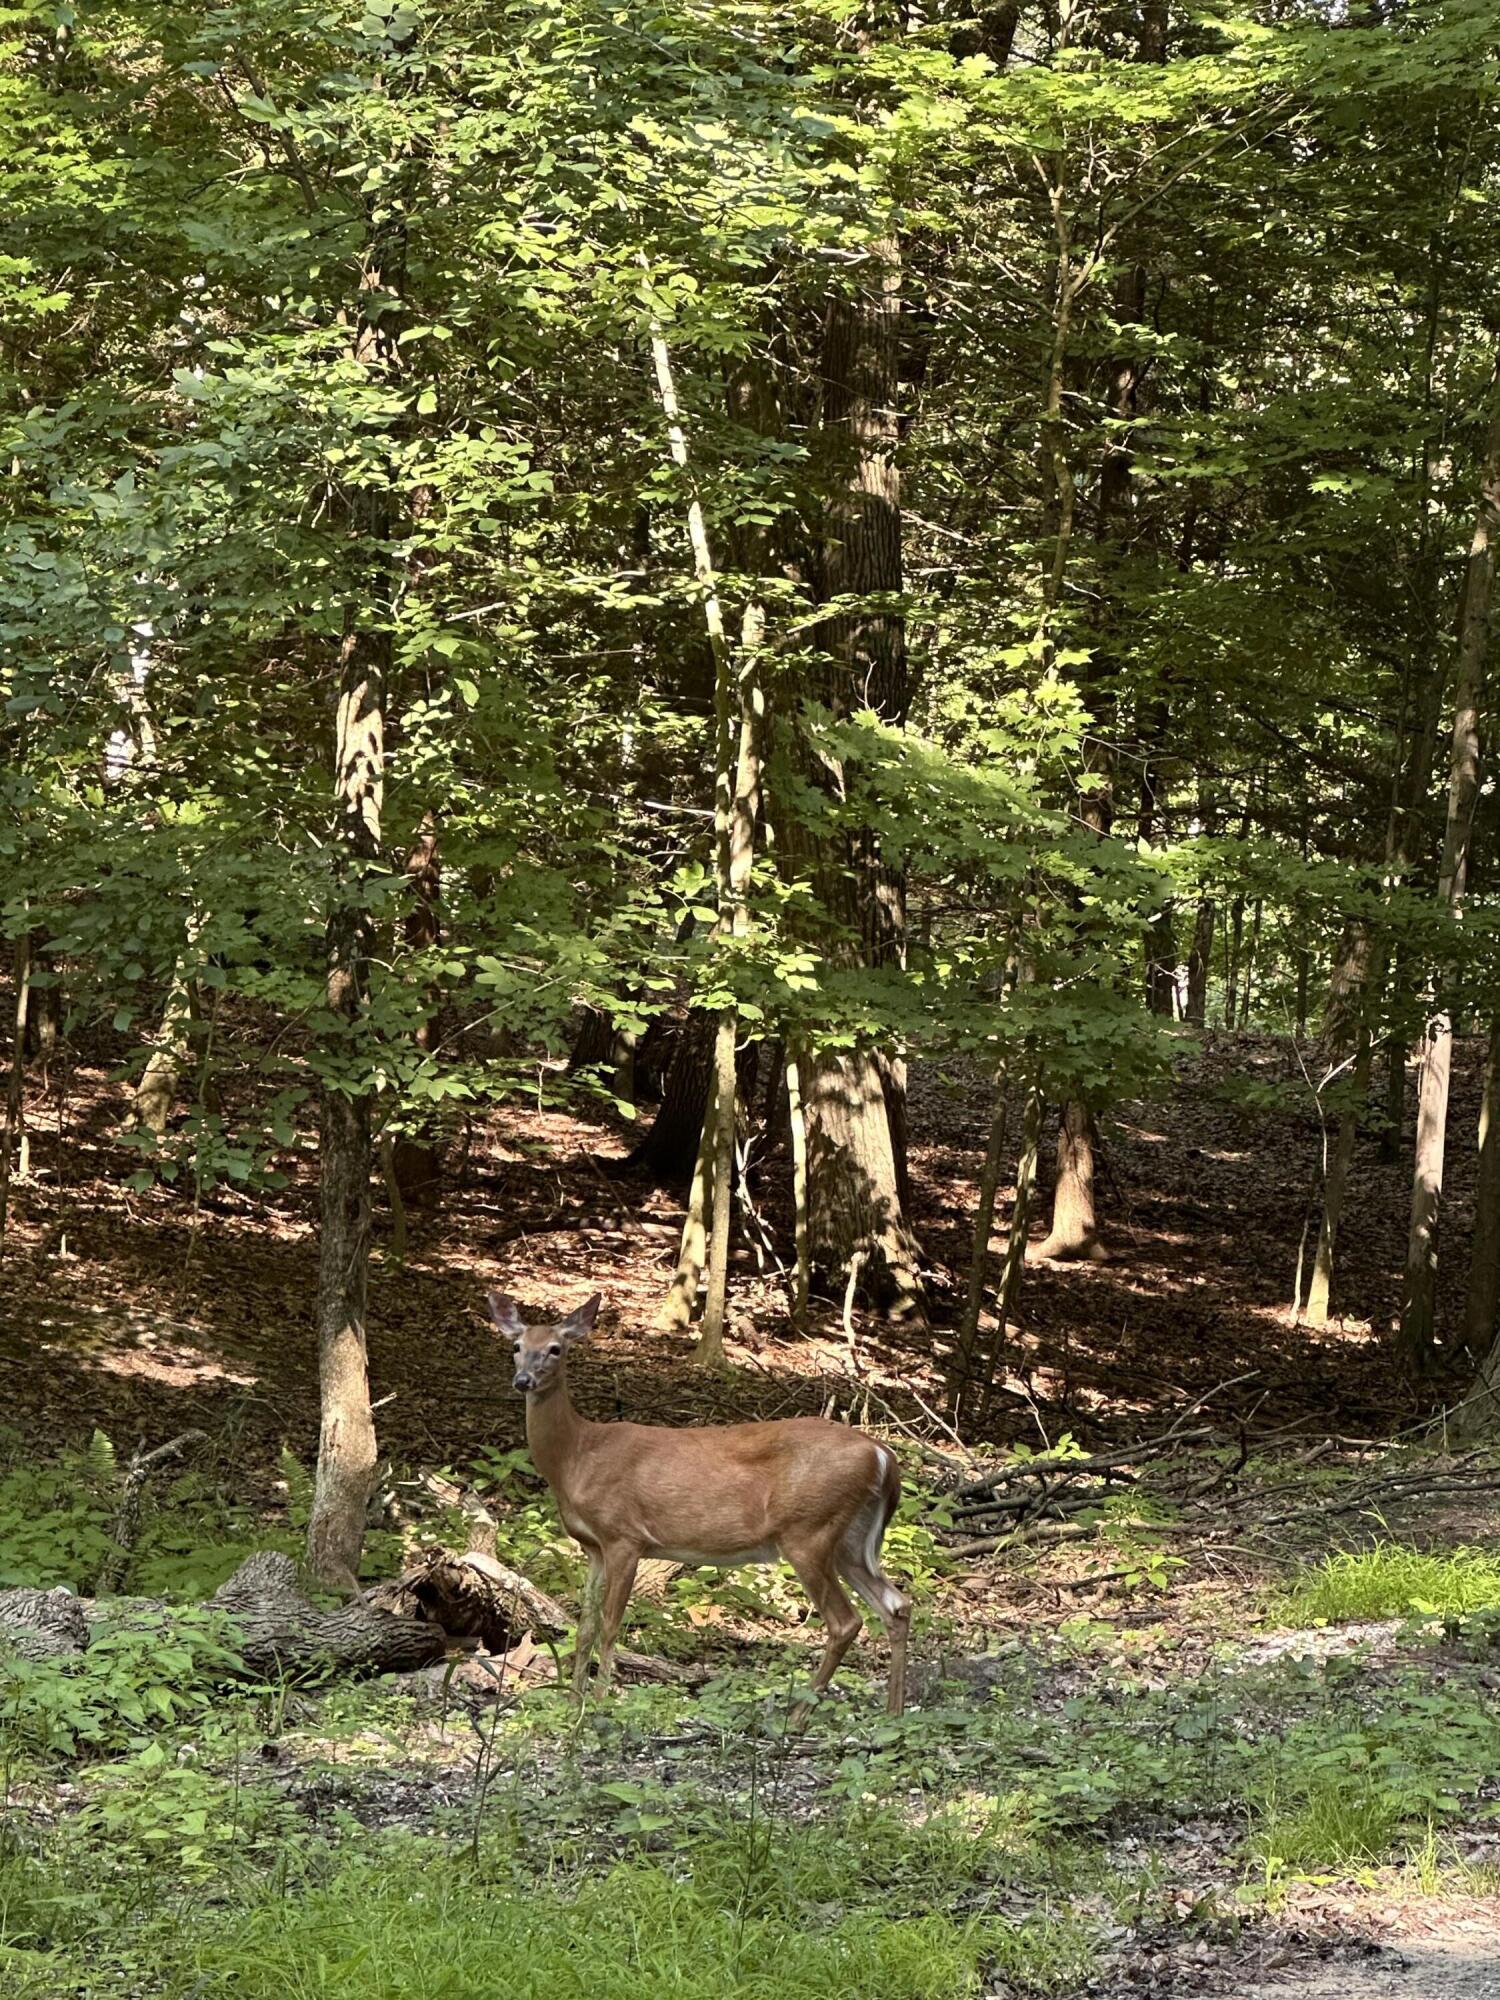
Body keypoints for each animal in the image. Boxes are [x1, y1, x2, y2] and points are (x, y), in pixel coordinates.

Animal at [488, 1291, 910, 1724]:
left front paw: (601, 1702)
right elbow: (585, 1626)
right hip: (849, 1539)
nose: (523, 1380)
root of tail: (883, 1455)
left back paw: (796, 1716)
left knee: (846, 1621)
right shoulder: (593, 1546)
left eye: (556, 1348)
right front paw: (573, 1702)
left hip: (808, 1529)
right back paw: (893, 1713)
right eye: (517, 1346)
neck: (576, 1457)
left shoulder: (624, 1536)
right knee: (896, 1605)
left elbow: (610, 1624)